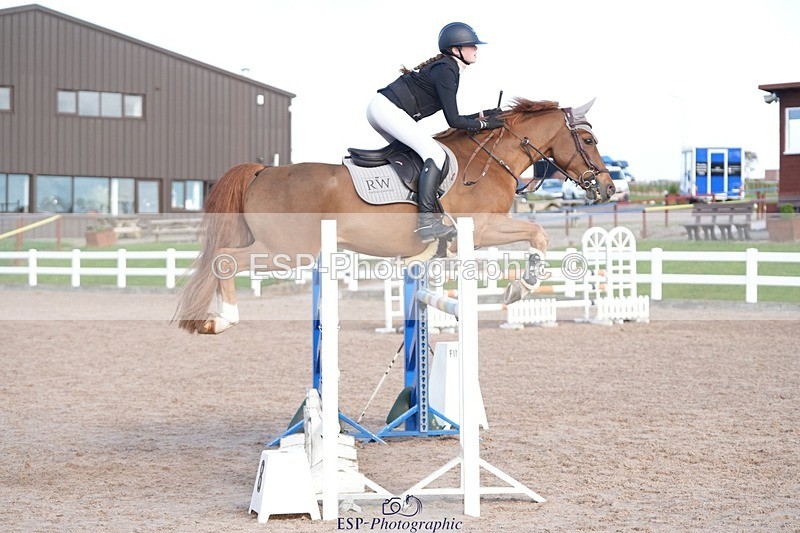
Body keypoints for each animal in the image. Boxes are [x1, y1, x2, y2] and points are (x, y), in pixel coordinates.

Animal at [175, 98, 613, 334]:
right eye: (588, 139)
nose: (608, 188)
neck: (490, 160)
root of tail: (263, 171)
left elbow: (536, 235)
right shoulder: (481, 229)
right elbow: (538, 233)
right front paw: (520, 288)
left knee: (222, 259)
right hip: (287, 250)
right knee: (224, 260)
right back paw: (222, 320)